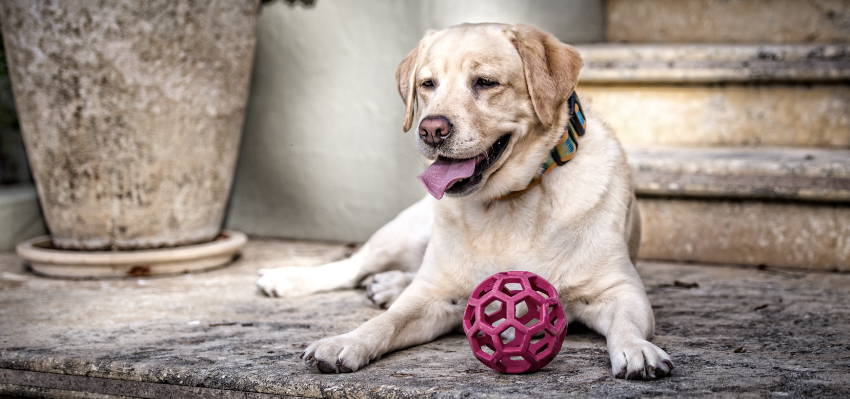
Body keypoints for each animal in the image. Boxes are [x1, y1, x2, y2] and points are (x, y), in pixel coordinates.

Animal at [255, 22, 672, 382]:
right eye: (427, 84)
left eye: (485, 83)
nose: (431, 129)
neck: (510, 201)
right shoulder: (430, 300)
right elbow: (386, 322)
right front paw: (347, 341)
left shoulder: (620, 289)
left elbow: (626, 324)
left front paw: (637, 350)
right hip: (403, 233)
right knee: (353, 265)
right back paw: (289, 278)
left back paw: (387, 285)